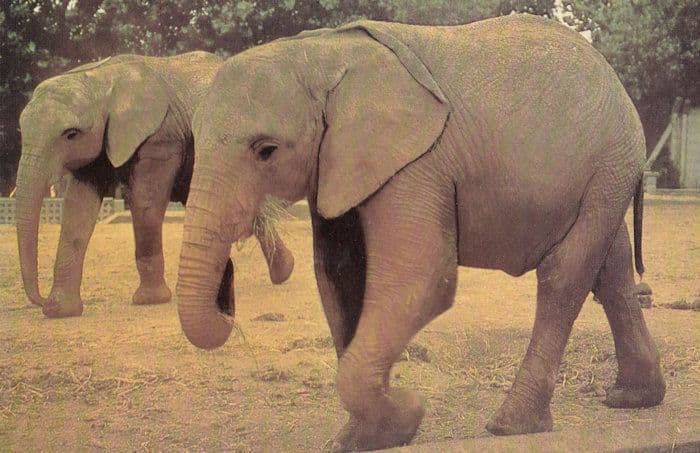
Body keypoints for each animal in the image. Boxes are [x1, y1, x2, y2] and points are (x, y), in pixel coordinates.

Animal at [15, 51, 295, 319]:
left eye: (70, 134)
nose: (39, 301)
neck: (100, 78)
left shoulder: (161, 136)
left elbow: (145, 201)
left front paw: (150, 300)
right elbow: (78, 209)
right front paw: (60, 311)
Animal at [175, 15, 666, 451]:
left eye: (266, 150)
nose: (226, 299)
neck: (321, 52)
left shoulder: (416, 164)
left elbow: (421, 278)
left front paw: (407, 414)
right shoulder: (338, 164)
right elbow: (340, 277)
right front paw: (360, 438)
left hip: (609, 162)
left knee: (565, 275)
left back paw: (510, 425)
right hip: (607, 174)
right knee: (612, 270)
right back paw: (631, 399)